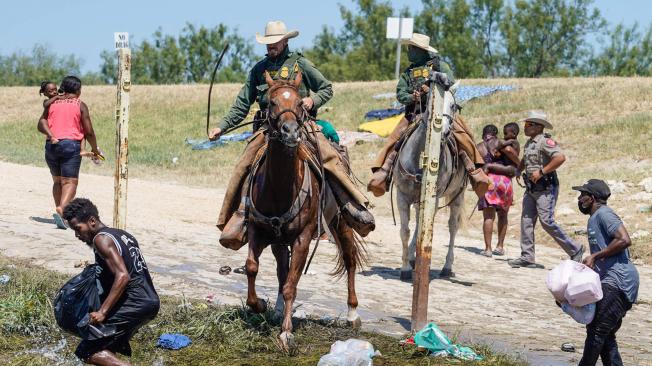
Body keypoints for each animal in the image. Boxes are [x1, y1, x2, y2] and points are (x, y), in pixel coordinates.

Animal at [246, 71, 366, 348]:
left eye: (300, 103)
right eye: (271, 102)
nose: (290, 132)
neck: (279, 187)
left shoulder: (302, 238)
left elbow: (292, 284)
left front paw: (286, 332)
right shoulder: (258, 230)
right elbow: (253, 268)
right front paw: (259, 305)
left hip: (341, 222)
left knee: (350, 258)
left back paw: (352, 313)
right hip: (280, 241)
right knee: (282, 270)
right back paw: (278, 309)